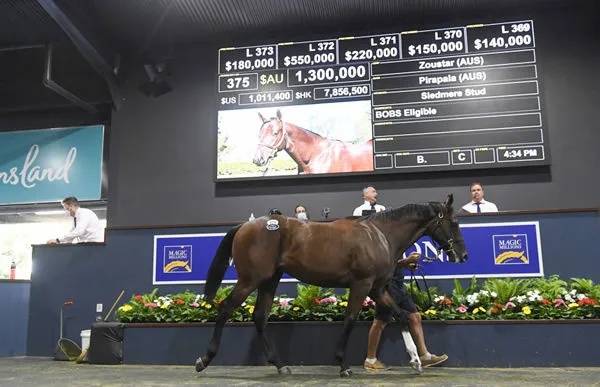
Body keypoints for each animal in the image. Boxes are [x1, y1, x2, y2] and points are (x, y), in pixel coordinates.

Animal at [195, 196, 466, 378]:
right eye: (453, 222)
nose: (463, 255)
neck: (378, 235)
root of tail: (245, 225)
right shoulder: (362, 285)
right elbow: (350, 319)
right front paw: (343, 366)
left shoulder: (377, 288)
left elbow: (400, 316)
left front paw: (416, 362)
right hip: (250, 279)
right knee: (225, 309)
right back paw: (204, 360)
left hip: (269, 280)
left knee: (260, 317)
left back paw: (281, 366)